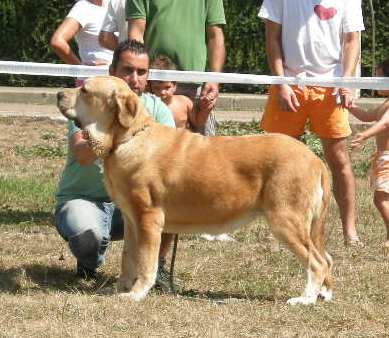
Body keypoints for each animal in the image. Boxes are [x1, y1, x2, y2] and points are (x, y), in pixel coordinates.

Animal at [57, 75, 334, 304]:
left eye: (85, 91)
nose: (59, 93)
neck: (129, 138)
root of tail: (315, 159)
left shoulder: (149, 218)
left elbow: (146, 262)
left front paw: (136, 294)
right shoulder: (131, 220)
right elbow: (129, 258)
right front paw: (118, 289)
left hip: (285, 220)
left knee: (317, 262)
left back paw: (305, 299)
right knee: (326, 259)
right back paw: (323, 294)